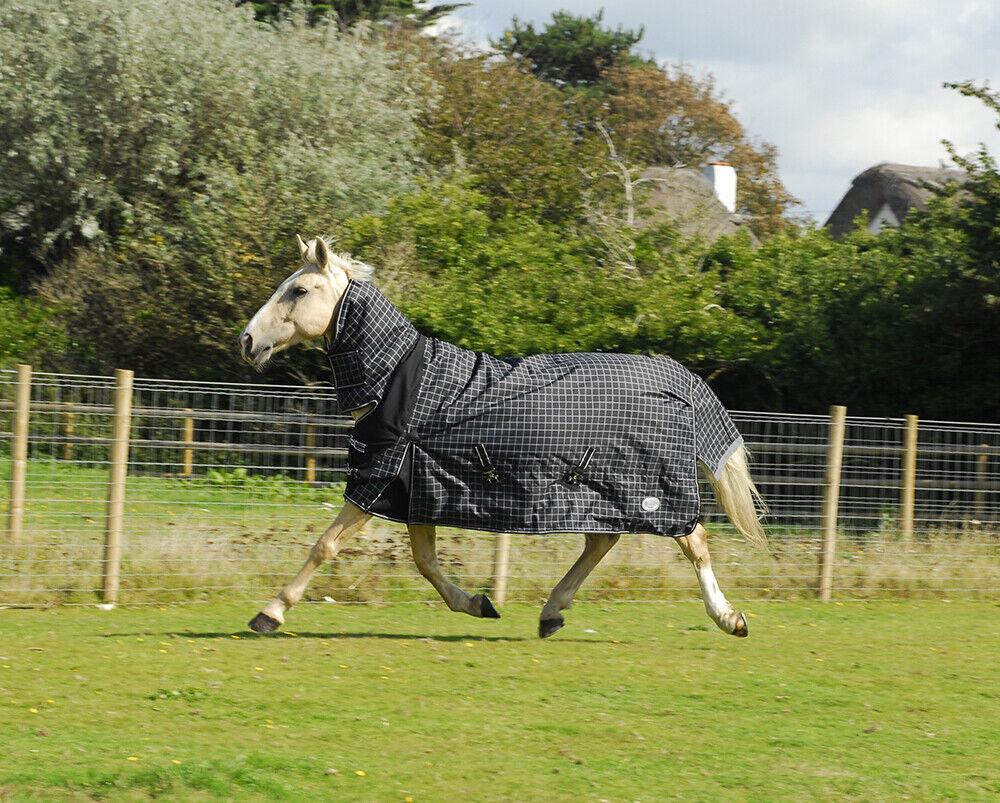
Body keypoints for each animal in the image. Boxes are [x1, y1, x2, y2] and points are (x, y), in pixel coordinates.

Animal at [239, 235, 767, 639]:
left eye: (299, 289)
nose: (247, 341)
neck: (399, 381)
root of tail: (678, 377)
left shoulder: (377, 480)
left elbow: (325, 545)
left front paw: (270, 613)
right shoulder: (415, 487)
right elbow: (425, 561)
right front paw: (478, 603)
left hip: (647, 489)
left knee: (694, 540)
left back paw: (730, 619)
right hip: (603, 488)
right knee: (602, 541)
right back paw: (551, 613)